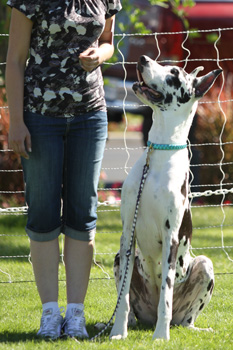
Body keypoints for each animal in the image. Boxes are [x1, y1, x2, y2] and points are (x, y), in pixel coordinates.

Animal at [110, 56, 221, 340]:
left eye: (173, 73)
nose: (143, 59)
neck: (159, 152)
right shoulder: (127, 235)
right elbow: (123, 299)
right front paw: (117, 332)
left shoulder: (170, 238)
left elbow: (166, 297)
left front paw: (161, 336)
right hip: (119, 259)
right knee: (131, 305)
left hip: (205, 265)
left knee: (183, 317)